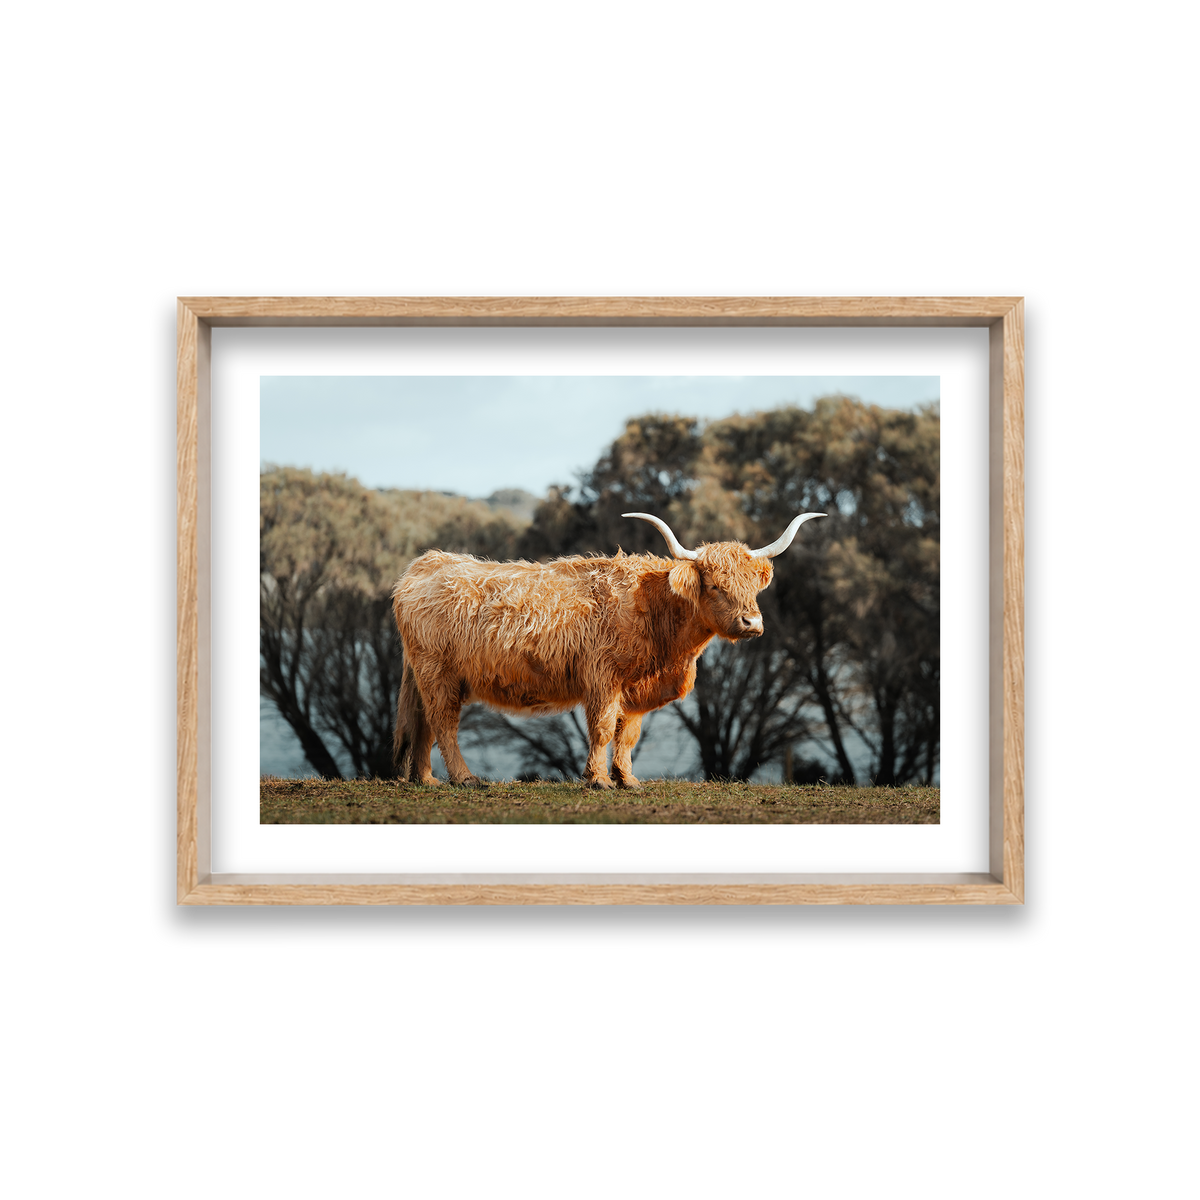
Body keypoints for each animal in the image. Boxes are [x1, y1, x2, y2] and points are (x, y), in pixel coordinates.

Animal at [391, 510, 826, 790]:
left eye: (753, 586)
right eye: (716, 586)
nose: (752, 623)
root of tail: (426, 563)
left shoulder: (634, 688)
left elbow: (628, 734)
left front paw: (628, 779)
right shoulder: (603, 678)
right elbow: (601, 729)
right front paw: (598, 780)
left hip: (429, 675)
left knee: (424, 724)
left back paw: (426, 779)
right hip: (438, 672)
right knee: (443, 723)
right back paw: (464, 779)